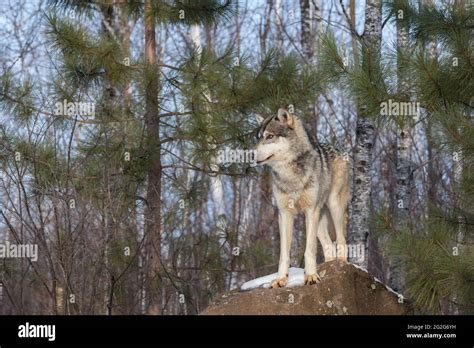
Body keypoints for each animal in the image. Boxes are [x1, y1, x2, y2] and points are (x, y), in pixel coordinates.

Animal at [254, 109, 350, 288]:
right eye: (257, 138)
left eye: (270, 136)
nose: (251, 154)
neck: (289, 174)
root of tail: (336, 148)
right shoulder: (284, 214)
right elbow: (284, 254)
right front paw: (281, 279)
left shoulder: (310, 211)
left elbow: (309, 250)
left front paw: (311, 276)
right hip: (319, 218)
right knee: (328, 245)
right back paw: (329, 265)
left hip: (333, 207)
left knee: (341, 238)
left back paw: (341, 263)